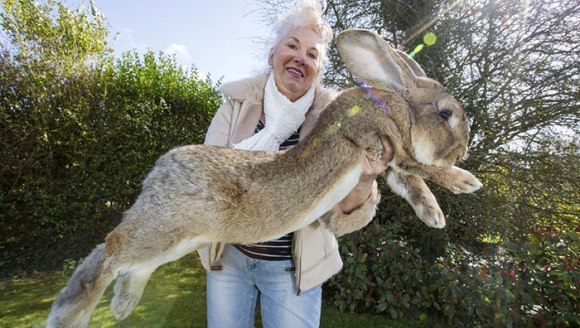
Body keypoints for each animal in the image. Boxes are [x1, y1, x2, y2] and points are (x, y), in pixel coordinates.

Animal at [45, 28, 482, 328]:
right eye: (446, 113)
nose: (464, 147)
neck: (394, 104)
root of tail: (157, 173)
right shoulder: (383, 143)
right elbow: (422, 168)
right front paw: (466, 181)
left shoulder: (390, 164)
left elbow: (410, 183)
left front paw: (433, 215)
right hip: (165, 229)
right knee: (111, 249)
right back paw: (73, 315)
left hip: (175, 240)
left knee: (125, 261)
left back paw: (120, 305)